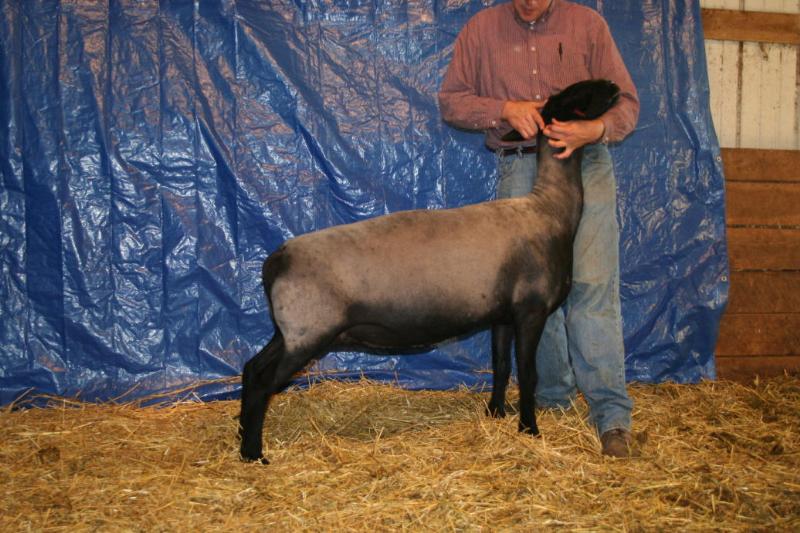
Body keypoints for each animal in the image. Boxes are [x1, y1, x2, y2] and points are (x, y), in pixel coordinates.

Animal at [239, 79, 621, 463]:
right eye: (578, 94)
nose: (615, 86)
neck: (550, 210)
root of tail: (276, 260)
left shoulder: (502, 315)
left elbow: (500, 365)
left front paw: (495, 413)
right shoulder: (531, 310)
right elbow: (528, 374)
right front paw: (529, 429)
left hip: (290, 330)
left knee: (252, 368)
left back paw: (244, 442)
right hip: (309, 330)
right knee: (262, 381)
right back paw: (255, 454)